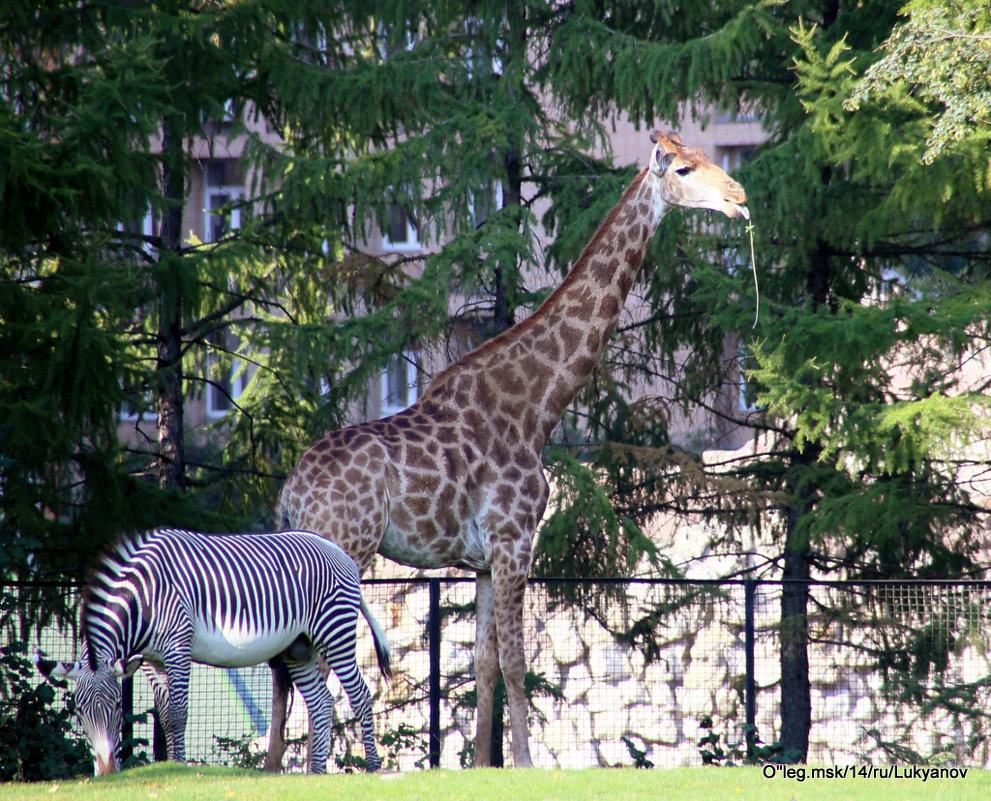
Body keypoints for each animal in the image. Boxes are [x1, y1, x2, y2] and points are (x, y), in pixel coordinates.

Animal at [35, 528, 392, 772]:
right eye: (78, 712)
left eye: (116, 706)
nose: (108, 773)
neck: (144, 598)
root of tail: (337, 549)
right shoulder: (151, 660)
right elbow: (165, 714)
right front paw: (171, 765)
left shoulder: (177, 646)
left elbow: (178, 714)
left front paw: (179, 768)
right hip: (298, 648)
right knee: (322, 702)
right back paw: (315, 773)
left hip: (334, 630)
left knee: (360, 694)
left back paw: (373, 765)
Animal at [268, 131, 748, 768]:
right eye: (686, 169)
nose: (739, 196)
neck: (538, 405)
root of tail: (290, 493)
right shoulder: (515, 539)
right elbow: (520, 663)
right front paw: (523, 764)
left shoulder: (483, 559)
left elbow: (484, 663)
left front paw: (480, 766)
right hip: (346, 548)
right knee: (314, 663)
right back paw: (315, 770)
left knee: (286, 664)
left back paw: (272, 767)